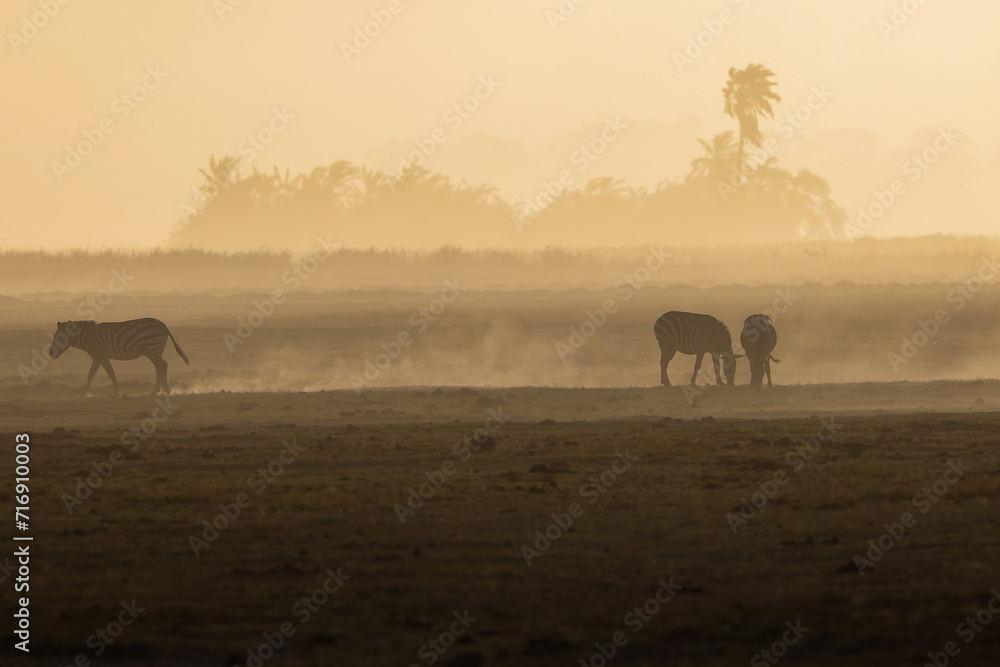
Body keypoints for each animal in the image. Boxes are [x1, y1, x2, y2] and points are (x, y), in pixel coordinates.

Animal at [47, 318, 190, 396]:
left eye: (60, 339)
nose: (50, 353)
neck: (89, 337)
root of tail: (163, 325)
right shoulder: (97, 357)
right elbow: (91, 374)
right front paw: (83, 393)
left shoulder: (101, 354)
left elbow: (110, 373)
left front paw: (116, 391)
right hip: (153, 350)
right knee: (160, 366)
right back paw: (157, 390)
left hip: (151, 349)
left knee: (162, 365)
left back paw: (163, 389)